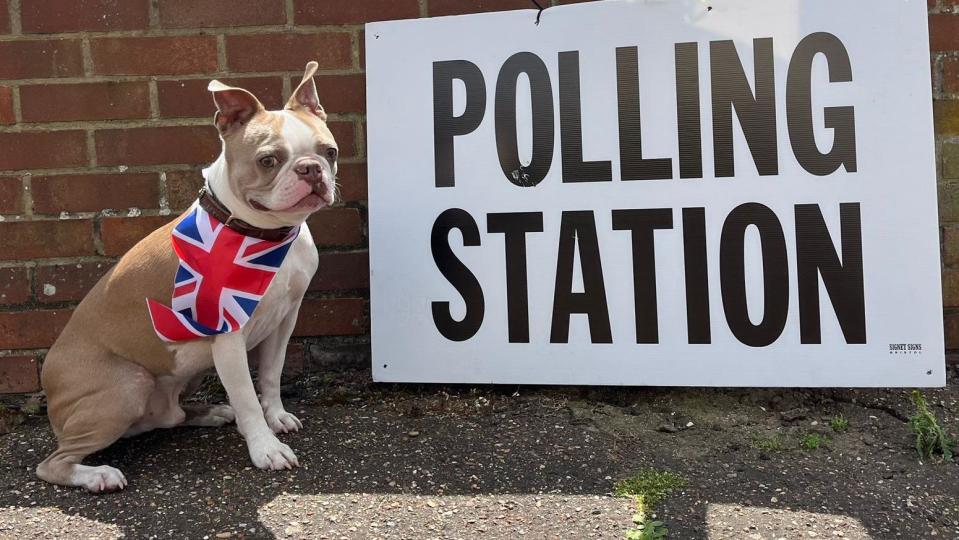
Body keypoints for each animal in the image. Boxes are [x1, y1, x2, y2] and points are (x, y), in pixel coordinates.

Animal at [36, 61, 338, 492]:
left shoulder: (284, 321)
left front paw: (275, 416)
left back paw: (208, 412)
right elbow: (247, 395)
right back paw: (97, 475)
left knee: (169, 416)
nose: (311, 169)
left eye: (329, 152)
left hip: (184, 373)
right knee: (53, 463)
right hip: (128, 385)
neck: (259, 233)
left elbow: (270, 374)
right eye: (267, 160)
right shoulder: (228, 334)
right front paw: (265, 447)